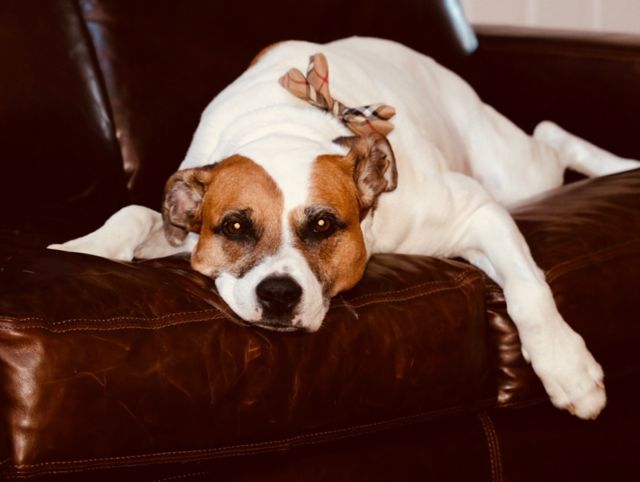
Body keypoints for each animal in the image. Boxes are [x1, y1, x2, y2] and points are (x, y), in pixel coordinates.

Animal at [49, 37, 640, 420]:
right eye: (235, 226)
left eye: (322, 224)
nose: (279, 295)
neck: (283, 127)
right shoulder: (180, 228)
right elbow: (133, 214)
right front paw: (82, 247)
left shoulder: (478, 210)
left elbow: (529, 287)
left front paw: (567, 367)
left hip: (515, 174)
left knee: (551, 135)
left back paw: (619, 167)